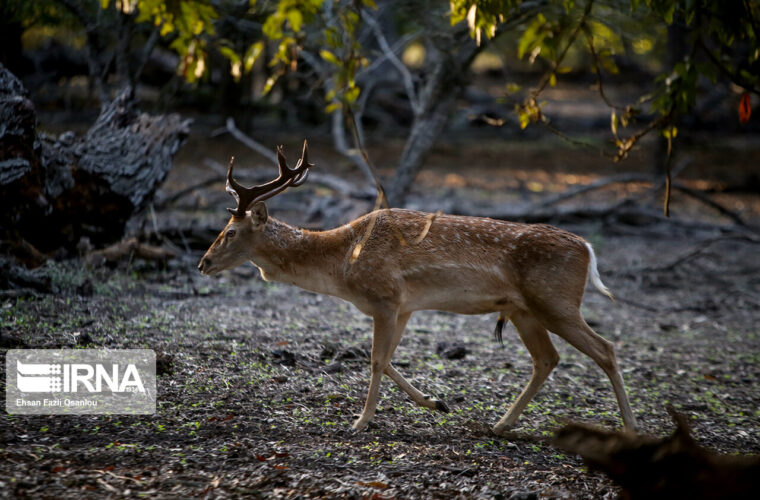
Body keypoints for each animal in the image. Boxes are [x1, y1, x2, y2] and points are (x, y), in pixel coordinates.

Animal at [199, 142, 640, 434]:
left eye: (230, 231)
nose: (203, 263)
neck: (343, 264)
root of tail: (587, 249)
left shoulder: (384, 297)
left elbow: (376, 360)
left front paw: (360, 422)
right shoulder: (405, 306)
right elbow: (389, 359)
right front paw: (436, 403)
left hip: (556, 301)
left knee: (606, 349)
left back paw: (631, 430)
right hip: (523, 309)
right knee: (547, 359)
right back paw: (499, 425)